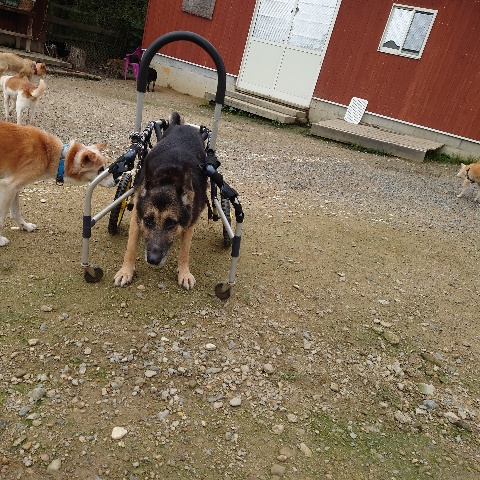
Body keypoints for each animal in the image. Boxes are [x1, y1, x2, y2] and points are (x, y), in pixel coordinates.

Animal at [114, 112, 207, 289]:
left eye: (171, 223)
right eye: (148, 220)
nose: (153, 260)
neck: (168, 179)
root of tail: (184, 126)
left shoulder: (190, 223)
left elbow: (185, 251)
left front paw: (184, 273)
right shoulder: (137, 217)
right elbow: (130, 247)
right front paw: (126, 271)